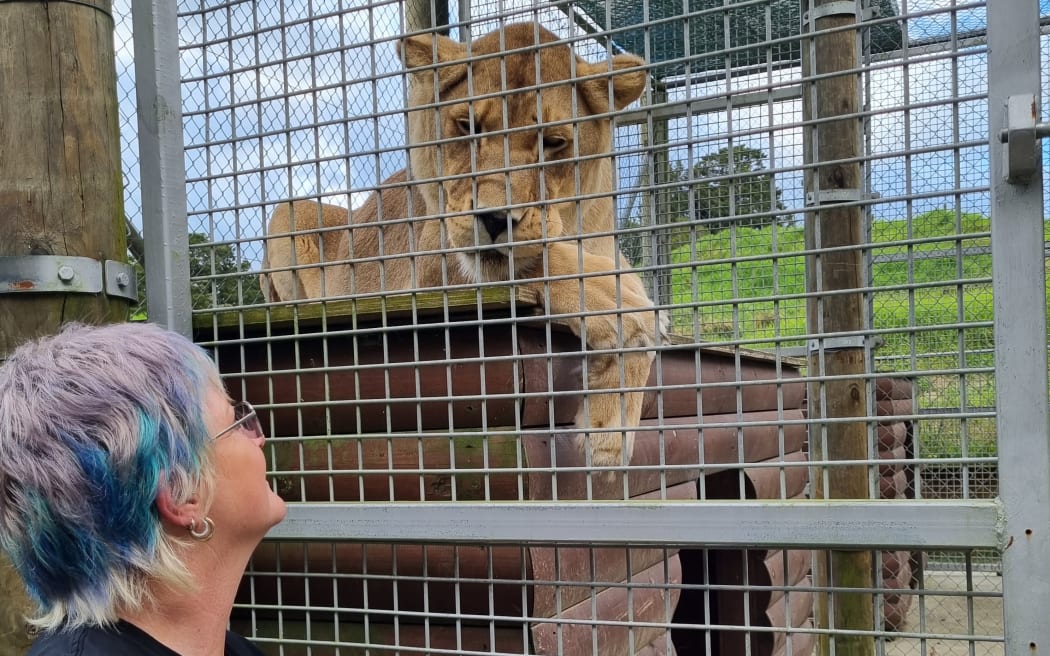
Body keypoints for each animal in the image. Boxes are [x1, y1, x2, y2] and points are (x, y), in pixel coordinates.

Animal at [261, 23, 665, 469]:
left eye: (554, 142)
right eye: (467, 125)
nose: (495, 218)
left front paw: (609, 434)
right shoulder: (434, 262)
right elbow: (563, 272)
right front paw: (627, 313)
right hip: (289, 211)